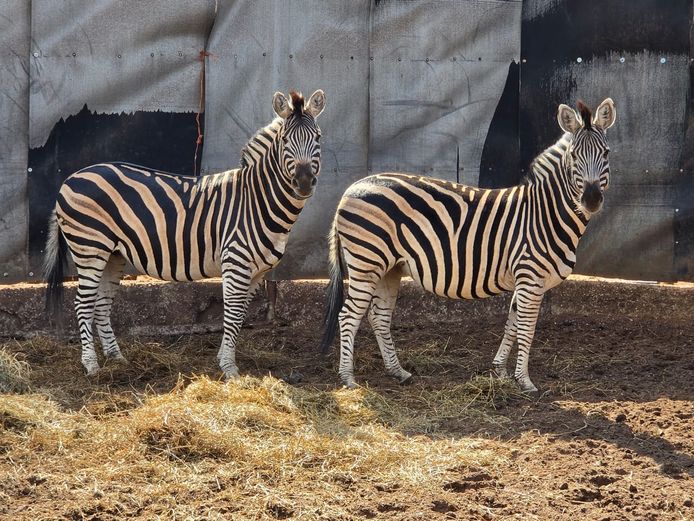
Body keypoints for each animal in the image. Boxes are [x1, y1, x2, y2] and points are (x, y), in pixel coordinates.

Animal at [44, 89, 326, 378]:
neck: (257, 201)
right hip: (90, 248)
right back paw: (91, 365)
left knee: (101, 305)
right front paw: (229, 368)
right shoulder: (236, 262)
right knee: (83, 304)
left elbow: (240, 315)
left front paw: (223, 359)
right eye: (284, 140)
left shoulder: (257, 271)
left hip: (113, 254)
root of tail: (69, 179)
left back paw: (116, 358)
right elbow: (233, 314)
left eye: (317, 137)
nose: (304, 182)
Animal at [320, 98, 616, 393]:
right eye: (574, 156)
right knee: (348, 316)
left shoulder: (523, 279)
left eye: (606, 153)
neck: (544, 213)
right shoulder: (530, 277)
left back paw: (398, 371)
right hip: (366, 263)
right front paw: (525, 381)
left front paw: (500, 370)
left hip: (388, 268)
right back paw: (348, 378)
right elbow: (526, 329)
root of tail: (350, 189)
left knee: (378, 316)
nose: (591, 199)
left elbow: (512, 324)